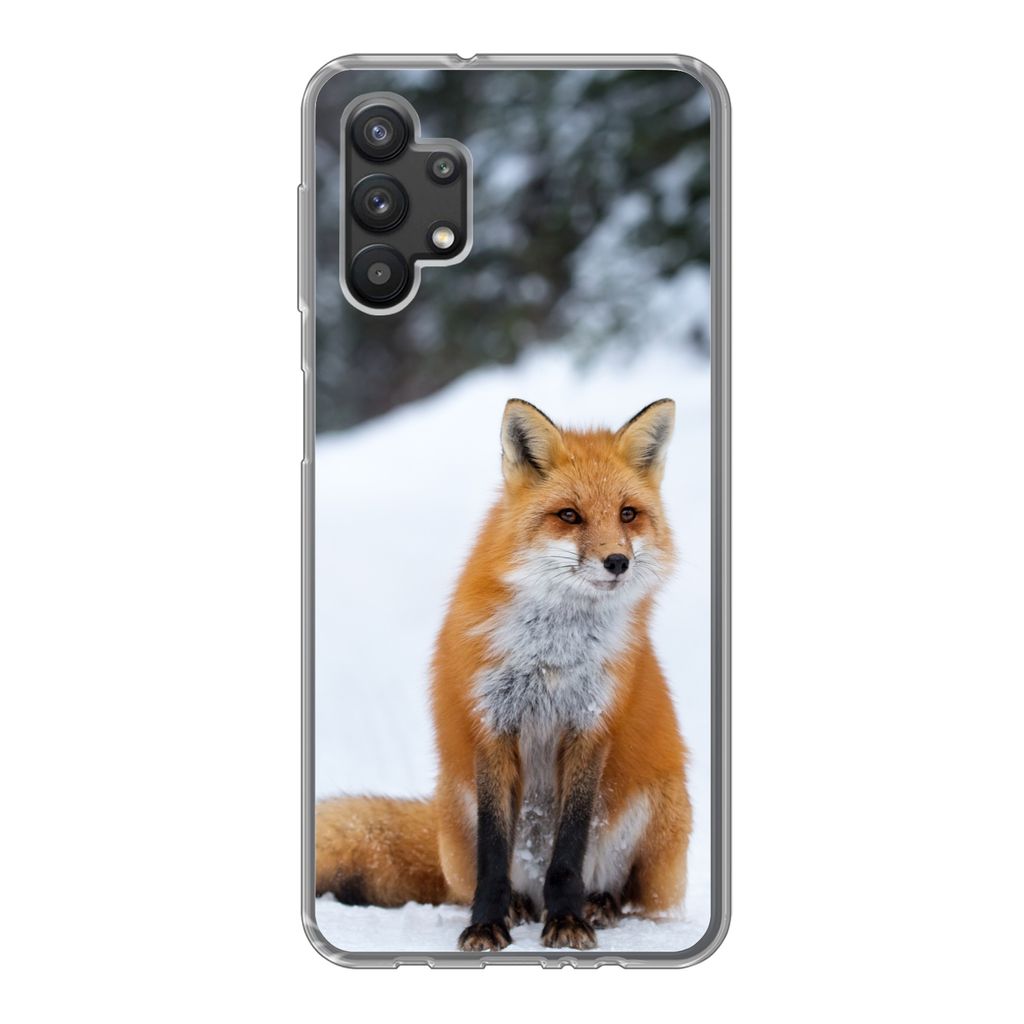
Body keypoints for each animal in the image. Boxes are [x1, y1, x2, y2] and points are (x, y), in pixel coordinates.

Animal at [316, 397, 691, 951]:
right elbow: (493, 854)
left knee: (633, 896)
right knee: (485, 877)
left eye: (627, 513)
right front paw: (487, 923)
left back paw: (597, 905)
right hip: (457, 810)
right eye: (569, 515)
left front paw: (567, 919)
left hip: (660, 810)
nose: (617, 561)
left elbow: (569, 851)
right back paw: (518, 905)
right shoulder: (492, 724)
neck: (552, 655)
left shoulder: (590, 727)